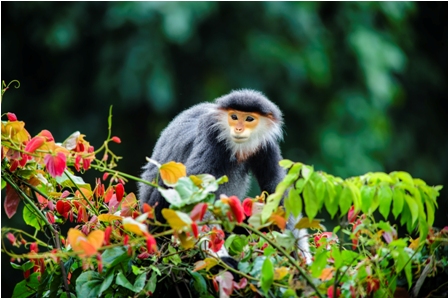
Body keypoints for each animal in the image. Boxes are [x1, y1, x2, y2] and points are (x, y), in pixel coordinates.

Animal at [138, 88, 310, 264]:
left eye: (249, 119)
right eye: (234, 117)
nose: (238, 129)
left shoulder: (266, 145)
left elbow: (276, 193)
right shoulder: (211, 137)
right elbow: (193, 197)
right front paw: (220, 257)